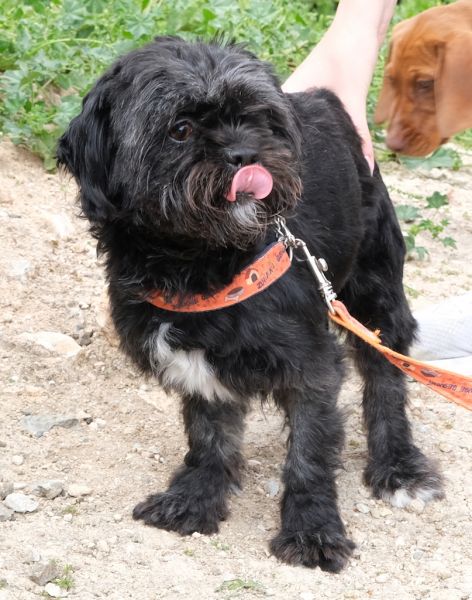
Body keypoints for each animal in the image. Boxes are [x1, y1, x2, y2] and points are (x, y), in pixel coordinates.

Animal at [57, 37, 443, 572]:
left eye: (257, 118)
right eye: (180, 128)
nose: (246, 153)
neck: (199, 263)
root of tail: (325, 98)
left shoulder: (311, 367)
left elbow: (308, 455)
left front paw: (312, 530)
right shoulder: (194, 362)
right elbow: (208, 434)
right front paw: (196, 497)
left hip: (375, 289)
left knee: (386, 377)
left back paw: (398, 466)